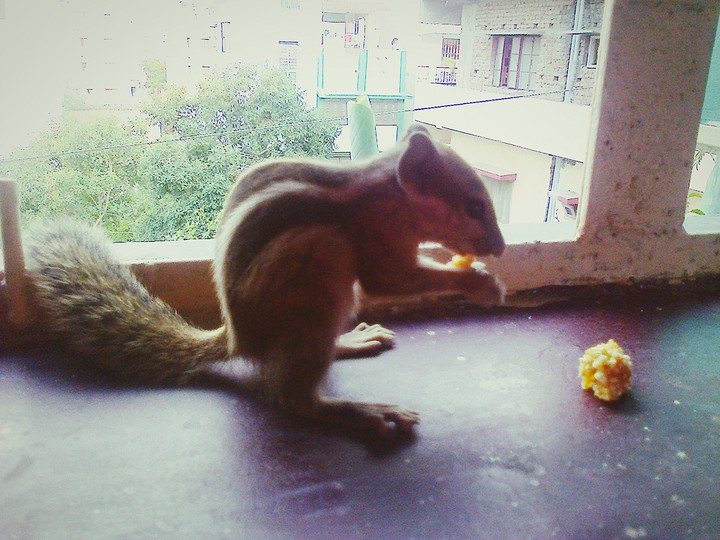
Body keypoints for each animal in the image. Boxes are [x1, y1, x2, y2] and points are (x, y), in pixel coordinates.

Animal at [23, 123, 506, 438]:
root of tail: (239, 339)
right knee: (295, 397)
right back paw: (364, 413)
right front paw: (481, 284)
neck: (388, 192)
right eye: (475, 206)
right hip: (317, 266)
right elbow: (393, 280)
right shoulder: (377, 238)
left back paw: (350, 341)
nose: (500, 248)